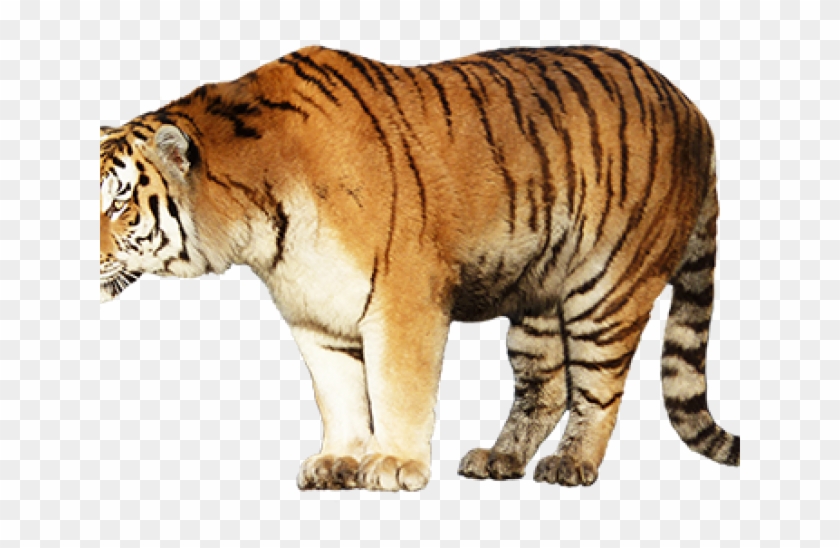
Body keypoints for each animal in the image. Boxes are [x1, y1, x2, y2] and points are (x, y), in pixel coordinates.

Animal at [100, 45, 740, 491]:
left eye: (116, 202)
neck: (258, 224)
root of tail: (696, 111)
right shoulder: (315, 315)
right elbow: (340, 395)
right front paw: (338, 461)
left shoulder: (402, 300)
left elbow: (396, 389)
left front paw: (394, 464)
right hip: (536, 293)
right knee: (547, 384)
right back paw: (499, 458)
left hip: (606, 288)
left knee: (598, 388)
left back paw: (571, 463)